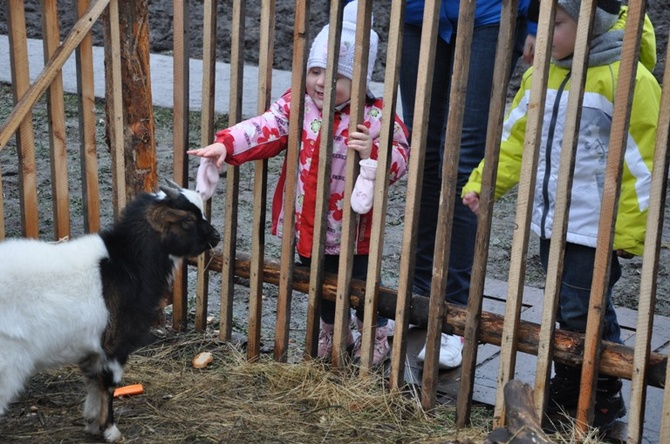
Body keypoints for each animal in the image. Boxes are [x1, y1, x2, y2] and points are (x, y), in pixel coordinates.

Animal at [0, 180, 222, 440]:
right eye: (188, 220)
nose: (216, 236)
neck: (127, 264)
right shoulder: (115, 343)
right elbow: (109, 384)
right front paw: (111, 430)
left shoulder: (93, 349)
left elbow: (93, 381)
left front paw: (92, 423)